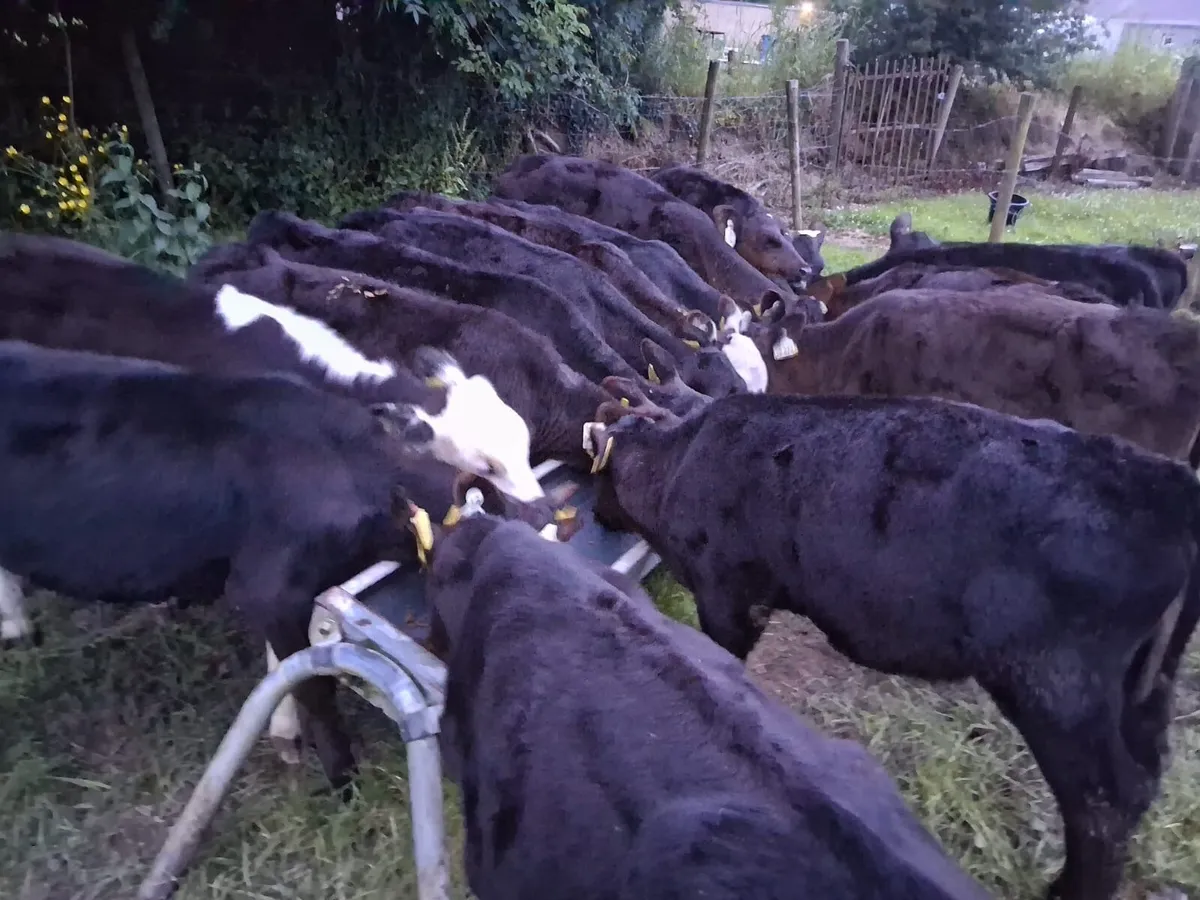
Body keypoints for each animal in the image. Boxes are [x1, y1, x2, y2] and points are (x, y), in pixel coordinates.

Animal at [582, 379, 1200, 900]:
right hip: (1142, 685)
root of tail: (1169, 485)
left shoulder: (728, 595)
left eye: (596, 475)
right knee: (1143, 778)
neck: (682, 461)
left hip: (1058, 689)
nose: (598, 514)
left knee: (1105, 804)